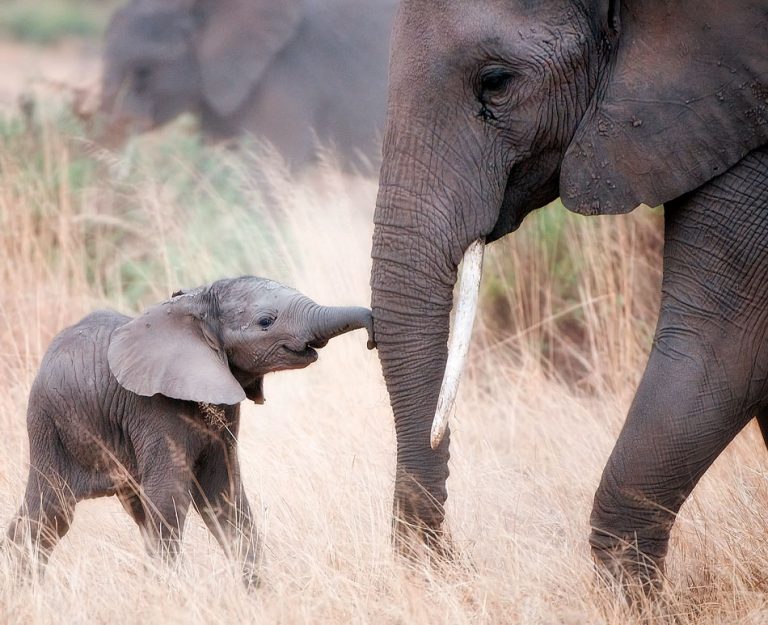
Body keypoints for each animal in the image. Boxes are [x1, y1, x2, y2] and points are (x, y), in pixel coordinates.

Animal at [4, 274, 374, 584]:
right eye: (266, 321)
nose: (372, 333)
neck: (195, 304)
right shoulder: (152, 409)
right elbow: (169, 499)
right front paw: (168, 592)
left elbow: (224, 495)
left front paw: (257, 594)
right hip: (49, 426)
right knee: (52, 514)